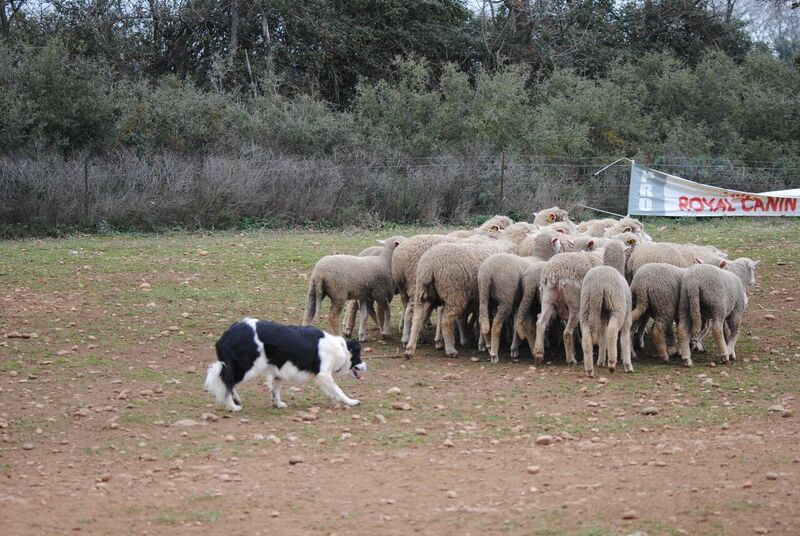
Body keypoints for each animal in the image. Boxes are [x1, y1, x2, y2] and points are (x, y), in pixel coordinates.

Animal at [206, 318, 368, 410]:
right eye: (359, 358)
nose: (366, 366)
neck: (340, 347)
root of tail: (228, 333)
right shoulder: (323, 375)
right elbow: (338, 390)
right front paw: (351, 401)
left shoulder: (278, 371)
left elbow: (275, 389)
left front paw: (277, 404)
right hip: (247, 366)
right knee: (227, 381)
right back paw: (232, 406)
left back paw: (236, 400)